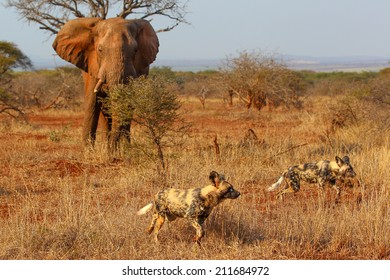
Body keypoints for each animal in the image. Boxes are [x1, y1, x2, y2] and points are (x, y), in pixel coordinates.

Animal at [52, 17, 159, 149]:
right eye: (100, 50)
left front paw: (121, 149)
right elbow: (92, 103)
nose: (113, 150)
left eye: (135, 50)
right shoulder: (92, 67)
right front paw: (88, 152)